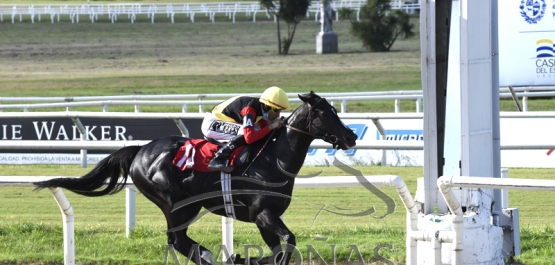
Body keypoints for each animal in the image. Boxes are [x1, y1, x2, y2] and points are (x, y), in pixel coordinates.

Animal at [34, 91, 358, 264]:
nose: (351, 136)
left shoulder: (266, 216)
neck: (272, 160)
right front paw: (240, 257)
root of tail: (141, 150)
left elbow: (281, 247)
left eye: (334, 110)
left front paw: (244, 257)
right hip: (177, 204)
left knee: (179, 240)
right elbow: (288, 241)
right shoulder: (262, 213)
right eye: (326, 113)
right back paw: (208, 256)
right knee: (177, 239)